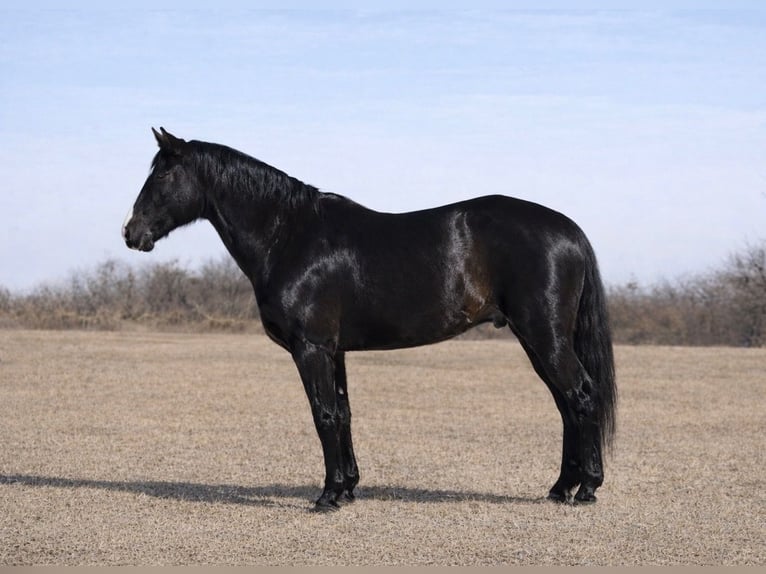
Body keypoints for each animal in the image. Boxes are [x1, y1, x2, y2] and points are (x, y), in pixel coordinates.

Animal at [122, 127, 617, 511]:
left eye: (163, 172)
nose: (131, 233)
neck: (290, 235)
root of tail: (569, 229)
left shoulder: (311, 348)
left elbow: (323, 414)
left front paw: (326, 497)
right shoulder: (333, 349)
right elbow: (343, 413)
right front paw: (347, 489)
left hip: (544, 335)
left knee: (581, 396)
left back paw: (586, 489)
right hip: (537, 340)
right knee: (566, 404)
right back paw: (560, 488)